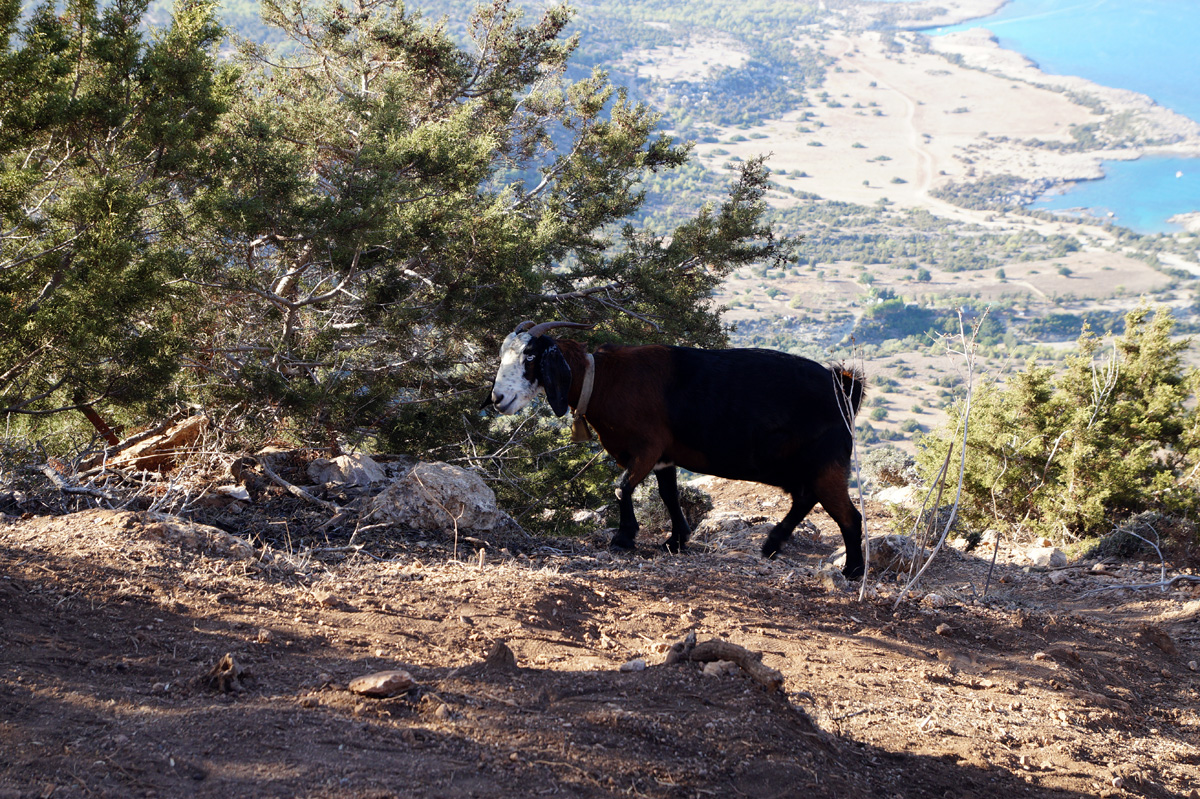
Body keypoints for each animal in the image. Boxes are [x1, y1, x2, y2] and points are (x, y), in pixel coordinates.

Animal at [489, 321, 873, 575]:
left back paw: (852, 571)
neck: (603, 379)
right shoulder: (663, 456)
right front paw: (675, 541)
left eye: (530, 357)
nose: (498, 399)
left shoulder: (647, 446)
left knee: (848, 516)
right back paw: (771, 545)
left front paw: (623, 538)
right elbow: (669, 494)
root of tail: (844, 387)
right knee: (805, 498)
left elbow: (621, 488)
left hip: (826, 463)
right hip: (796, 466)